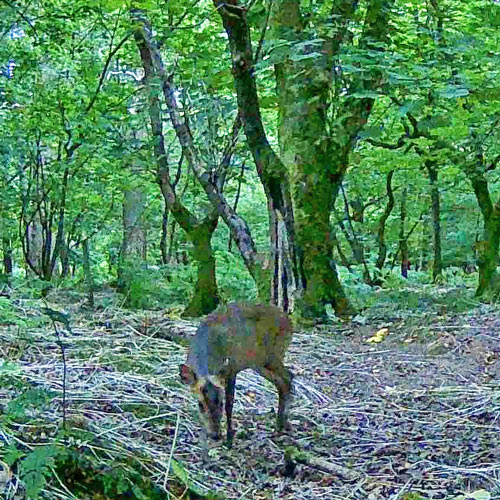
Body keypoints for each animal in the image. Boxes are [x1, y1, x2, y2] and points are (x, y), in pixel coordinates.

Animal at [180, 302, 294, 452]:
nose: (215, 435)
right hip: (259, 363)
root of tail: (289, 321)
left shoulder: (231, 369)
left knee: (289, 376)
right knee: (282, 382)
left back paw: (281, 426)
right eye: (200, 405)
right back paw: (280, 426)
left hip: (273, 355)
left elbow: (230, 405)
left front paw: (229, 441)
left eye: (220, 402)